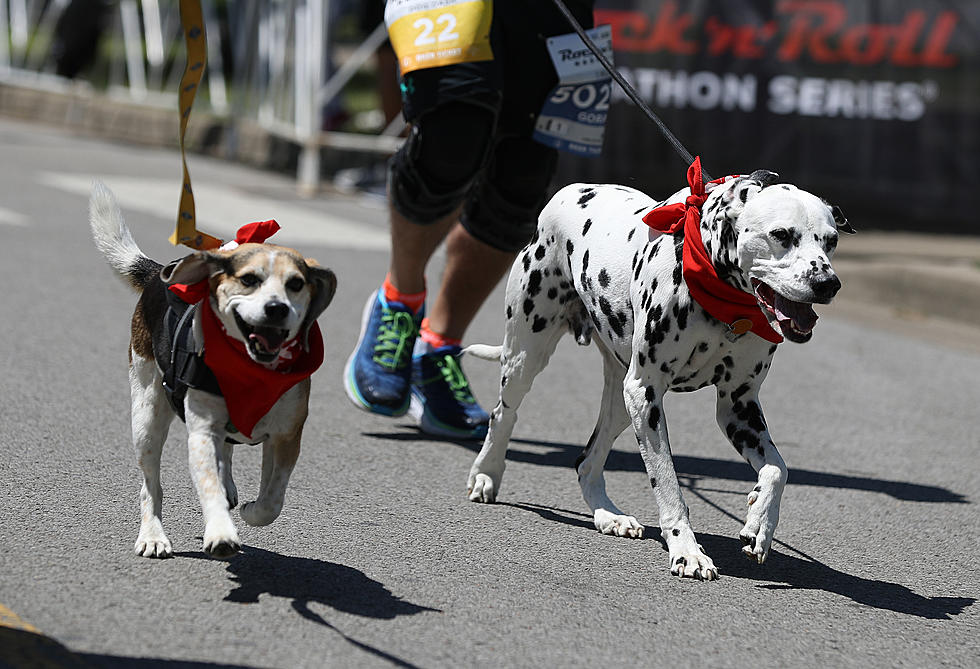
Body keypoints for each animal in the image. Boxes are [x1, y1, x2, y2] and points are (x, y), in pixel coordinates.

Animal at [466, 168, 848, 580]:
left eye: (831, 241)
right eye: (781, 235)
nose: (827, 284)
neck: (720, 296)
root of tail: (568, 191)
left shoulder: (737, 406)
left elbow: (778, 469)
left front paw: (760, 523)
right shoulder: (647, 395)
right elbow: (667, 483)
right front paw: (687, 551)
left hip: (621, 401)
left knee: (587, 461)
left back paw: (608, 515)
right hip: (527, 358)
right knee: (503, 415)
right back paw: (486, 475)